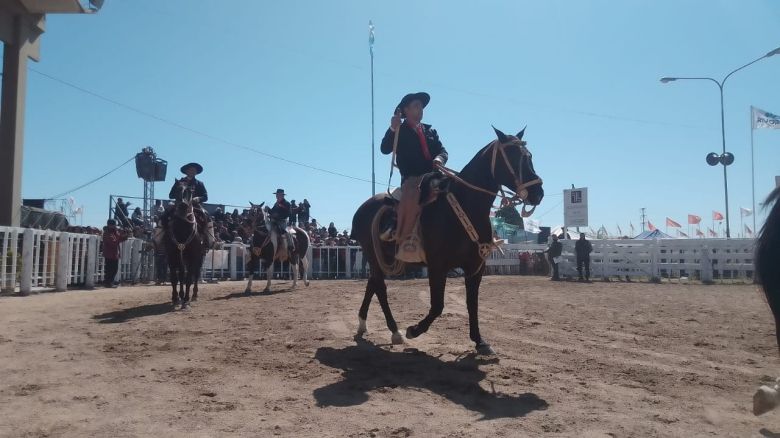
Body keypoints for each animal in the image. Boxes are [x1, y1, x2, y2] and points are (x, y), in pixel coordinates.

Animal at [352, 128, 544, 354]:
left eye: (529, 156)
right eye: (514, 157)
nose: (538, 193)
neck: (465, 207)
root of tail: (363, 208)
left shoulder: (476, 267)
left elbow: (472, 303)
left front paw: (480, 341)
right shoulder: (437, 266)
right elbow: (437, 306)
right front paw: (414, 330)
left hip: (381, 258)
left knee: (372, 283)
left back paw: (363, 324)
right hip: (373, 254)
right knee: (380, 288)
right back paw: (395, 331)